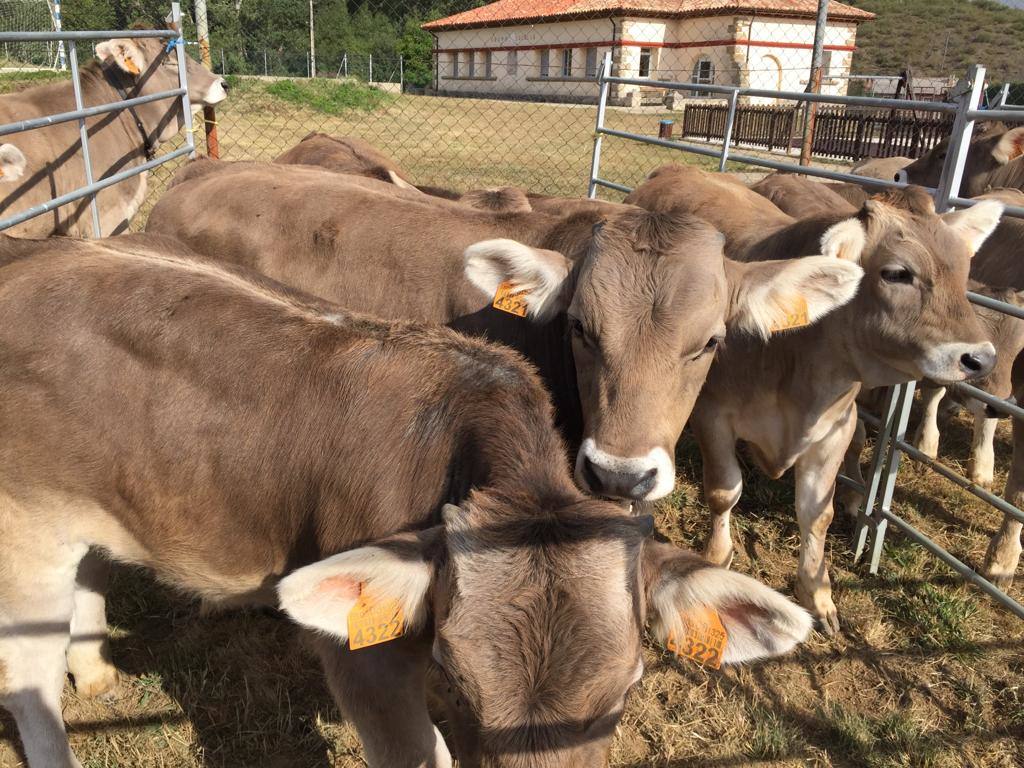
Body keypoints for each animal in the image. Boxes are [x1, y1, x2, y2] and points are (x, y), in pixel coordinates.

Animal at [2, 234, 815, 768]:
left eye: (628, 689)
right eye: (455, 684)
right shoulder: (364, 664)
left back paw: (95, 671)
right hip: (23, 534)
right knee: (28, 681)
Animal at [622, 166, 999, 630]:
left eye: (963, 269)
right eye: (897, 273)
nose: (980, 358)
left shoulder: (836, 429)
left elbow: (818, 512)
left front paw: (817, 593)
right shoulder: (712, 412)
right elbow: (724, 491)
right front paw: (717, 555)